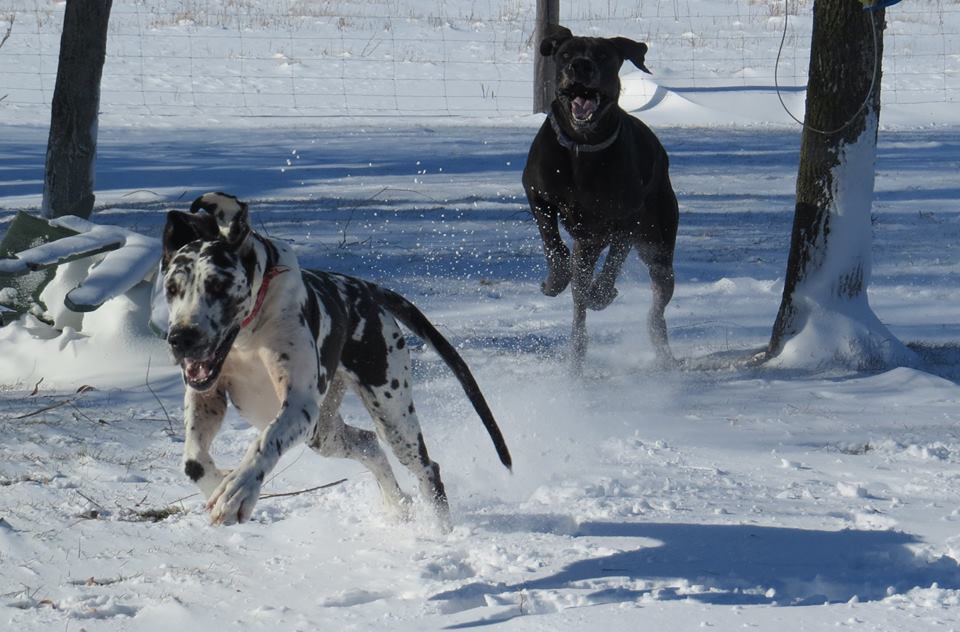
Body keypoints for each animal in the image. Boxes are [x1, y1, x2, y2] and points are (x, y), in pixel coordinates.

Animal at [161, 194, 512, 528]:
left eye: (217, 285)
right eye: (171, 288)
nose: (181, 338)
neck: (248, 334)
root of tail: (368, 289)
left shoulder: (298, 404)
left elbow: (265, 442)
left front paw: (238, 491)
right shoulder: (206, 396)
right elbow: (192, 462)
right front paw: (219, 483)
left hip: (392, 417)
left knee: (427, 467)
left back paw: (438, 527)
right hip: (323, 432)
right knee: (368, 444)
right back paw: (397, 504)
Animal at [520, 25, 680, 370]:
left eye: (603, 55)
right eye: (565, 53)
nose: (580, 66)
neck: (582, 147)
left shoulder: (625, 219)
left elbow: (613, 264)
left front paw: (602, 294)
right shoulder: (537, 193)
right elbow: (551, 240)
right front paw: (555, 280)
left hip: (658, 245)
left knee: (655, 305)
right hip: (590, 244)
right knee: (579, 302)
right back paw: (577, 350)